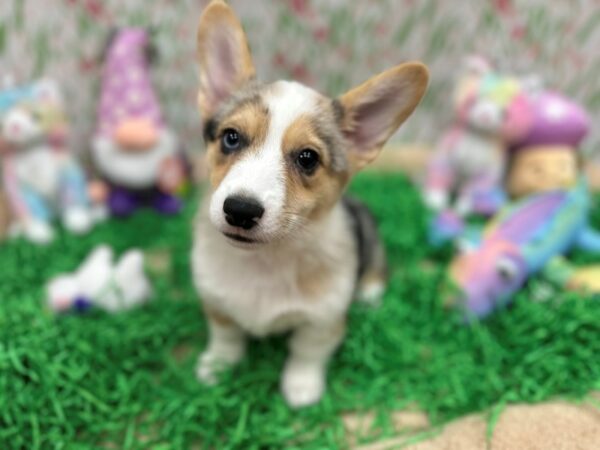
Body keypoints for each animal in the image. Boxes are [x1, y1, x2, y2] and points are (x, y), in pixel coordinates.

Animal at [192, 0, 426, 408]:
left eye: (307, 158)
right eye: (231, 137)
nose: (240, 210)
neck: (264, 261)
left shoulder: (323, 320)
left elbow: (306, 352)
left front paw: (301, 387)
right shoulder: (215, 301)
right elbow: (226, 335)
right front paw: (217, 367)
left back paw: (369, 293)